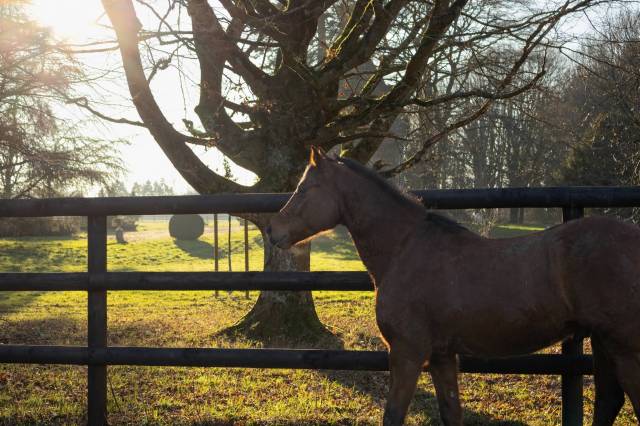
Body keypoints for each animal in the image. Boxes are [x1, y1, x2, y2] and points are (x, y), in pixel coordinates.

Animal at [266, 147, 640, 426]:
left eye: (304, 189)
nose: (272, 230)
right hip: (604, 342)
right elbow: (451, 413)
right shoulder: (443, 356)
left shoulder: (407, 352)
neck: (405, 248)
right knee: (610, 401)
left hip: (624, 347)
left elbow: (394, 415)